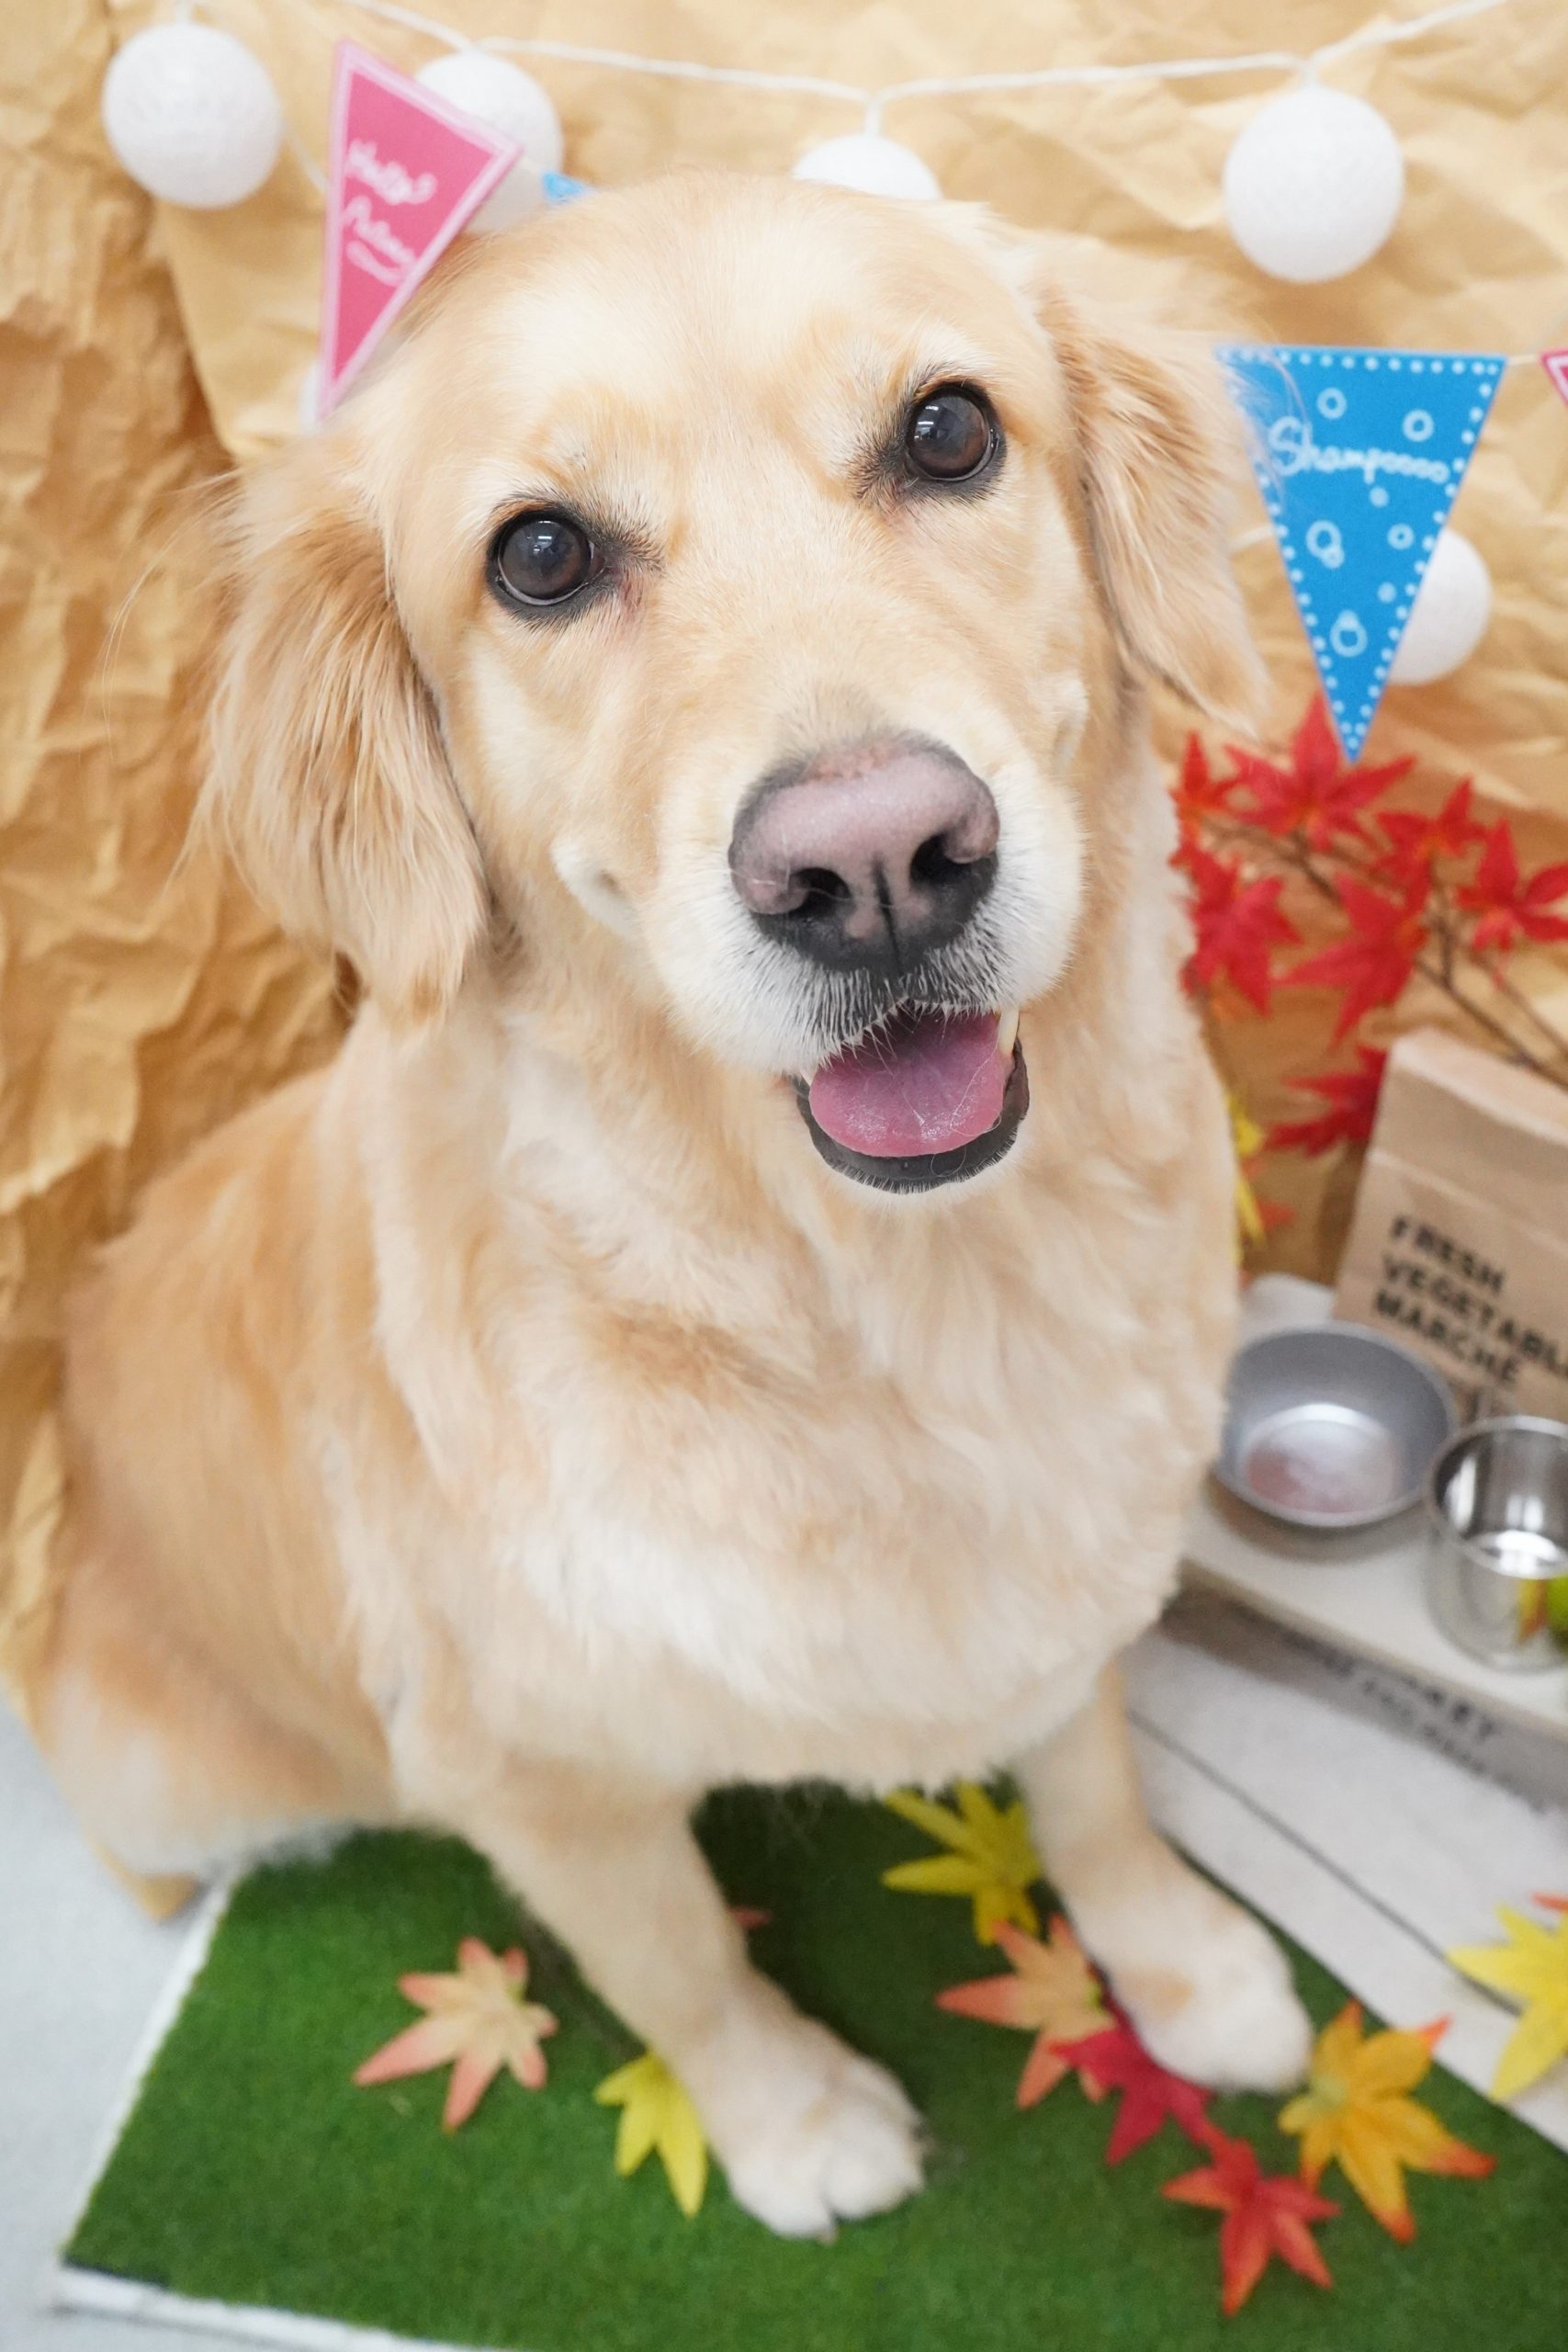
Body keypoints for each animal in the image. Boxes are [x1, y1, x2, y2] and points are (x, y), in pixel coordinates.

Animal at [37, 168, 1311, 2237]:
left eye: (946, 433)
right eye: (542, 556)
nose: (875, 863)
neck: (897, 1302)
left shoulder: (1071, 1581)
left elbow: (1096, 1785)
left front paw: (1183, 1966)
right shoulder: (533, 1774)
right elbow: (678, 1960)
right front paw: (790, 2122)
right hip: (159, 1767)